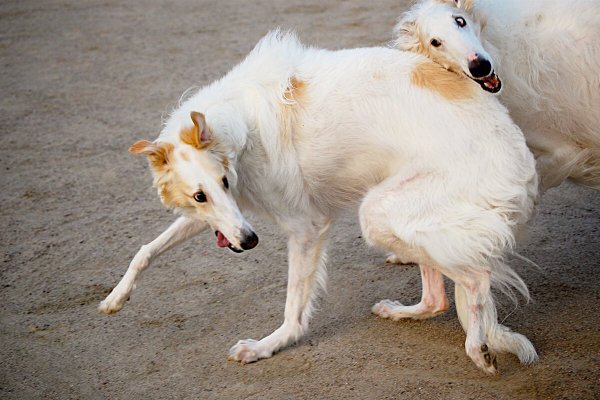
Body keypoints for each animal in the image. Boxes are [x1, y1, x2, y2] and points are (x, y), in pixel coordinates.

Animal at [99, 30, 540, 372]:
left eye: (225, 180)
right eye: (200, 195)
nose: (249, 242)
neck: (238, 129)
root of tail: (519, 153)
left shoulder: (304, 227)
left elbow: (294, 309)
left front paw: (266, 346)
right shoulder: (226, 214)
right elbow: (146, 250)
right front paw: (115, 299)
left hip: (379, 213)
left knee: (475, 278)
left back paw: (478, 348)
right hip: (401, 216)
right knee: (437, 297)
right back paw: (399, 309)